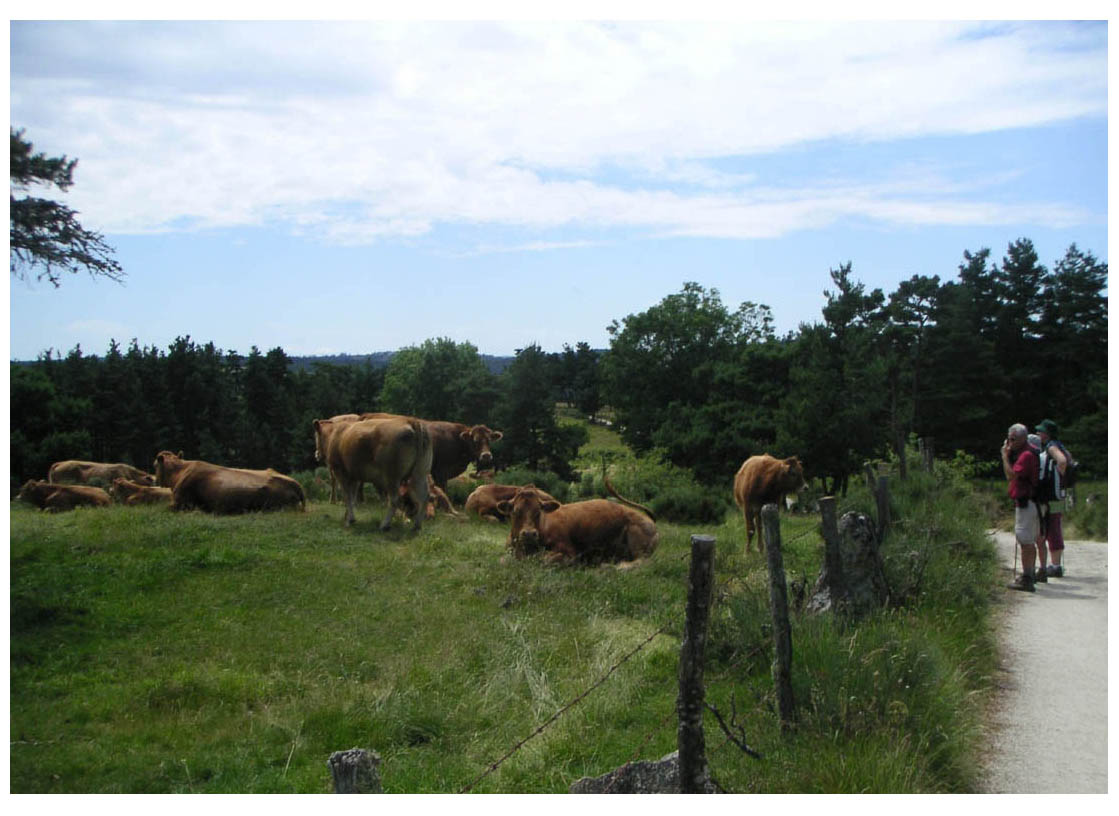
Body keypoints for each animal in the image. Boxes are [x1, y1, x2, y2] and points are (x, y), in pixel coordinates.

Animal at [496, 476, 653, 566]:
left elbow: (545, 559)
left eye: (538, 511)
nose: (529, 534)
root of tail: (648, 519)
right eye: (515, 511)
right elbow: (503, 560)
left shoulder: (569, 553)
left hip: (639, 544)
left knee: (640, 563)